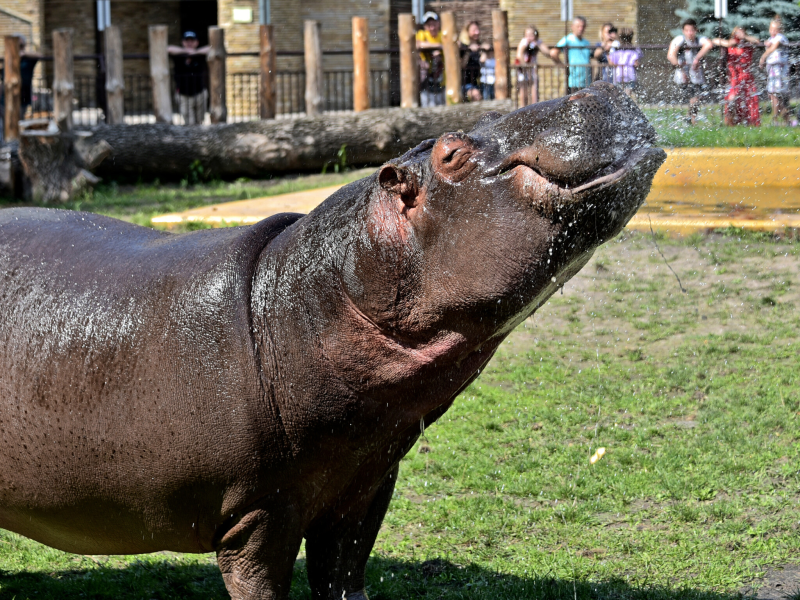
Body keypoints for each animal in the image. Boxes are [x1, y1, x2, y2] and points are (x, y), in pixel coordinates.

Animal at [0, 83, 664, 600]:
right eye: (450, 154)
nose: (595, 86)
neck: (314, 293)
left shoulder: (363, 487)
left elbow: (346, 577)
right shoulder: (258, 515)